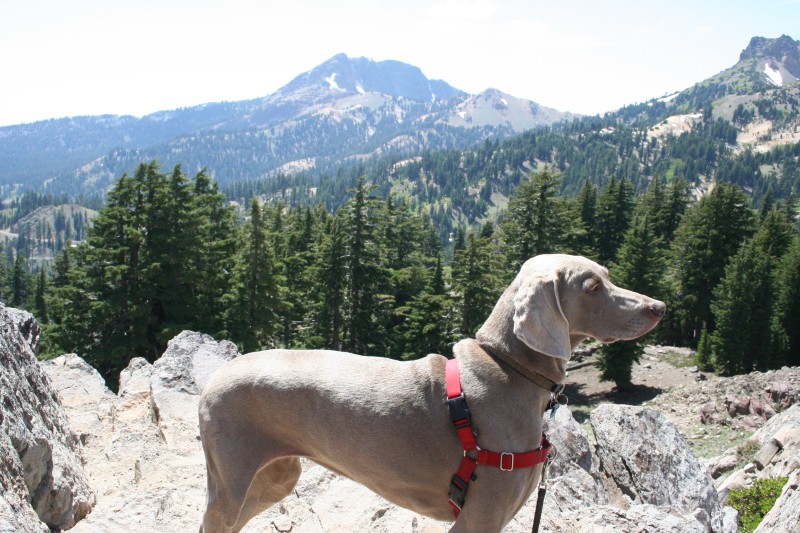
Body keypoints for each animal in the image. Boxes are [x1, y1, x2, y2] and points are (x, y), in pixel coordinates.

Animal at [197, 256, 664, 528]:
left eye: (608, 276)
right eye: (592, 287)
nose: (658, 307)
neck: (508, 367)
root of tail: (215, 377)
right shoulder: (479, 518)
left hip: (275, 476)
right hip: (232, 482)